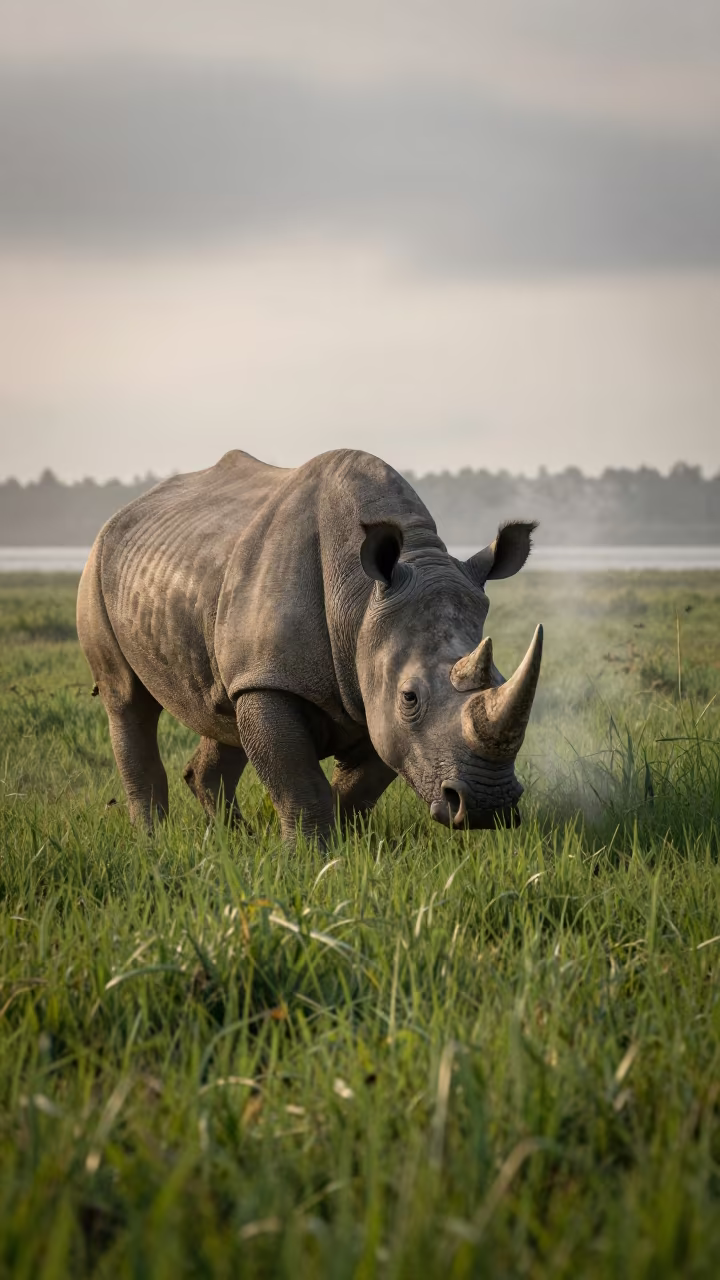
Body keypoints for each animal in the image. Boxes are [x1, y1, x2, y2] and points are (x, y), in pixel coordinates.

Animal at [77, 449, 542, 842]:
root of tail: (124, 512)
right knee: (127, 701)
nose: (487, 807)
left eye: (500, 676)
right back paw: (152, 841)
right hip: (97, 565)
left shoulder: (369, 690)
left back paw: (235, 839)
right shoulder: (272, 680)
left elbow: (360, 783)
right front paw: (310, 858)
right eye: (409, 697)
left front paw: (348, 846)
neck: (361, 603)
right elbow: (298, 784)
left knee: (223, 709)